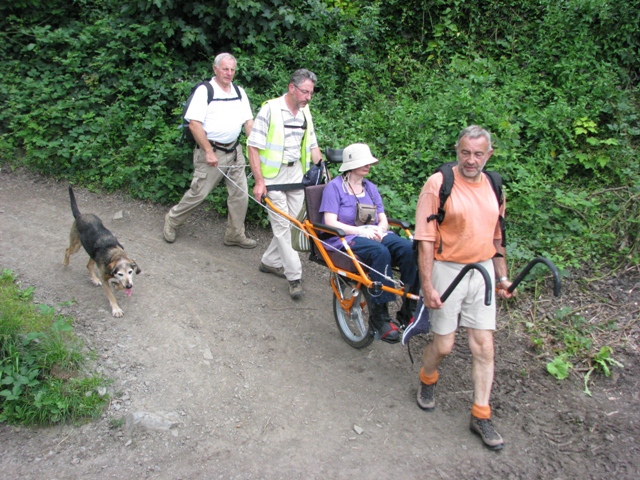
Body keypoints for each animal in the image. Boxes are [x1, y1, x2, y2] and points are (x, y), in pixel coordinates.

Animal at [63, 186, 141, 316]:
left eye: (130, 272)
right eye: (120, 273)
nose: (129, 286)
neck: (115, 255)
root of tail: (80, 215)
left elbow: (119, 285)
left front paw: (117, 286)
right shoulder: (105, 280)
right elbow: (111, 295)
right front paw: (116, 309)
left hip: (92, 253)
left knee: (89, 265)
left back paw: (95, 279)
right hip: (76, 245)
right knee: (67, 250)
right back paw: (65, 263)